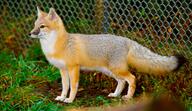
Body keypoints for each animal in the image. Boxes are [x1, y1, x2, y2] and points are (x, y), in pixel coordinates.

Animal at [29, 7, 185, 103]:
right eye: (35, 25)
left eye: (42, 27)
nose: (30, 33)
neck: (59, 44)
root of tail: (126, 40)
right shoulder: (63, 70)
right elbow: (64, 86)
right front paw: (62, 97)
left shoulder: (74, 68)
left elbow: (73, 87)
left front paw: (70, 100)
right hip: (111, 72)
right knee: (122, 82)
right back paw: (116, 95)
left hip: (117, 70)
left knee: (132, 79)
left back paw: (128, 97)